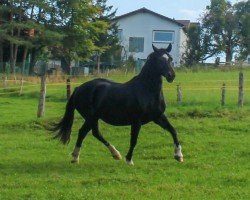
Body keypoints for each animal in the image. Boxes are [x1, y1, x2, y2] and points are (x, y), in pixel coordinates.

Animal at [52, 44, 183, 166]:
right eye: (159, 60)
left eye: (170, 58)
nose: (171, 76)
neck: (146, 90)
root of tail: (78, 88)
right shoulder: (136, 121)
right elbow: (133, 140)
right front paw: (129, 160)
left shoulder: (158, 116)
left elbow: (173, 131)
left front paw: (179, 155)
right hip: (91, 117)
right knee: (94, 133)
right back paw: (115, 154)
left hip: (92, 118)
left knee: (84, 132)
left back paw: (76, 157)